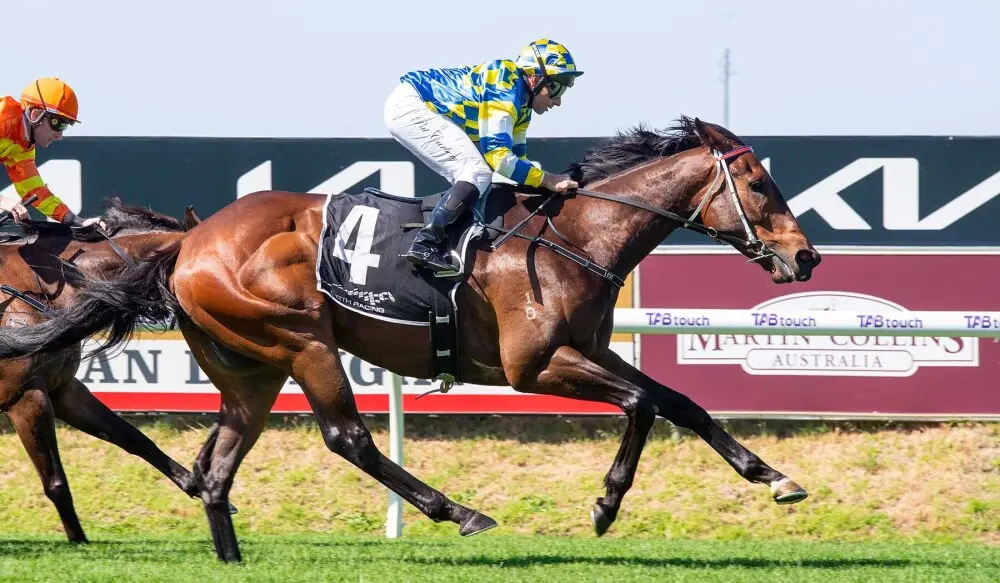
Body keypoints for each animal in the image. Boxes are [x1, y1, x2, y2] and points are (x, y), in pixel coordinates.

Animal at [0, 198, 226, 543]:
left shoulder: (64, 389)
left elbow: (133, 437)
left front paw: (196, 485)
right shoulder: (25, 398)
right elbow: (55, 481)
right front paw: (78, 541)